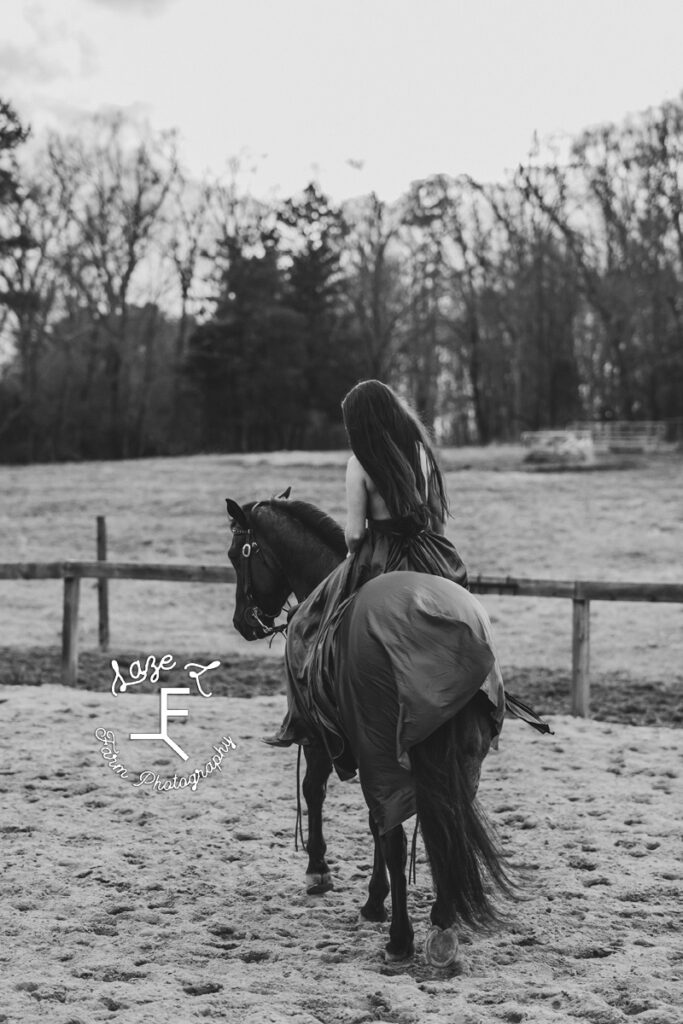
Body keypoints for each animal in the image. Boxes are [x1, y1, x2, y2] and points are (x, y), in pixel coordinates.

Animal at [227, 495, 516, 966]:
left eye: (237, 555)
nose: (243, 623)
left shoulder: (325, 740)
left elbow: (316, 792)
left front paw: (324, 874)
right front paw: (375, 898)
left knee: (395, 834)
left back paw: (401, 939)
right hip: (465, 758)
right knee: (446, 826)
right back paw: (443, 922)